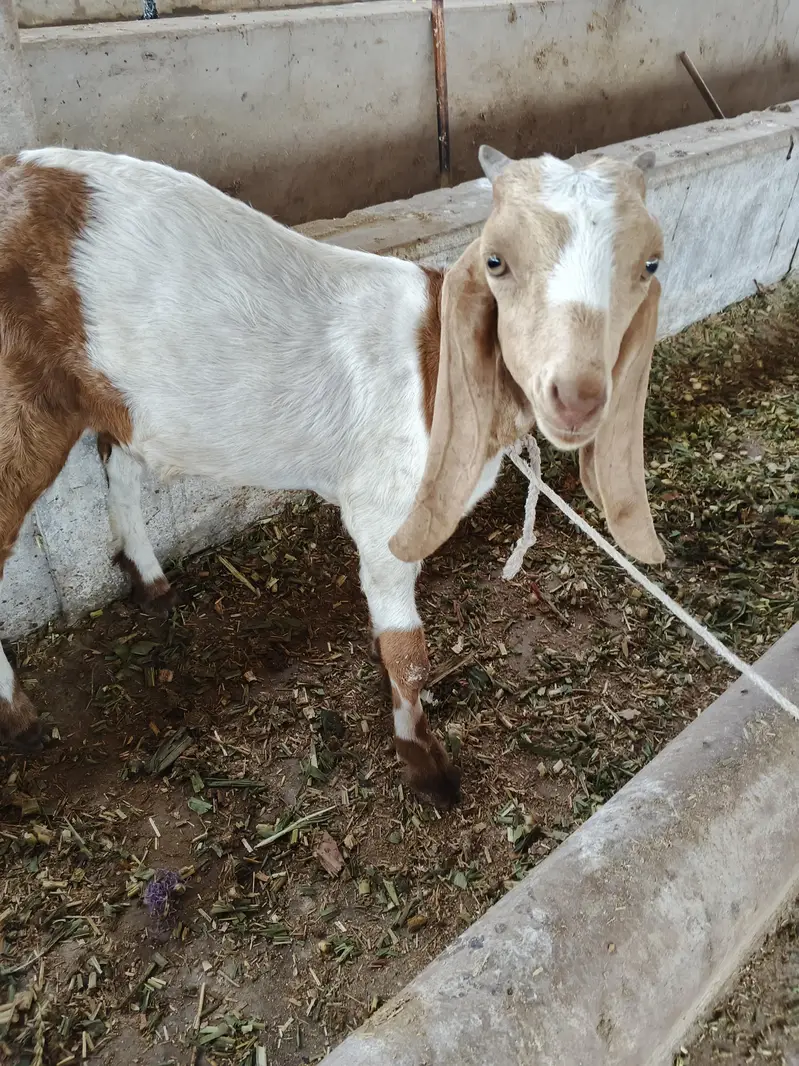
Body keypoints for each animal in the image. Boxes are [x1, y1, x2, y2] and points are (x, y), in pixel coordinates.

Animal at [0, 145, 664, 805]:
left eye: (649, 264)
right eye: (495, 261)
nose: (576, 396)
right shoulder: (384, 505)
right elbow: (410, 650)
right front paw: (426, 765)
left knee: (118, 456)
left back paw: (147, 578)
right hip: (18, 413)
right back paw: (19, 716)